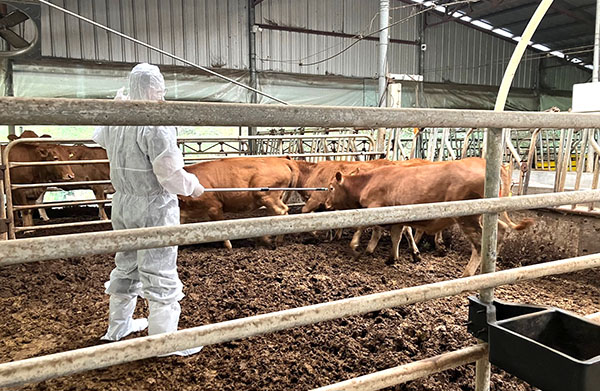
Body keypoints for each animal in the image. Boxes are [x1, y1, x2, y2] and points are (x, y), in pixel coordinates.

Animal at [326, 158, 532, 278]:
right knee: (501, 230)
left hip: (468, 217)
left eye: (330, 188)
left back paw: (467, 274)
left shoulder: (375, 209)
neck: (368, 181)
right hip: (485, 216)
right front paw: (393, 258)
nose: (327, 204)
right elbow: (396, 235)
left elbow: (363, 227)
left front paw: (355, 247)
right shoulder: (397, 217)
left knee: (480, 244)